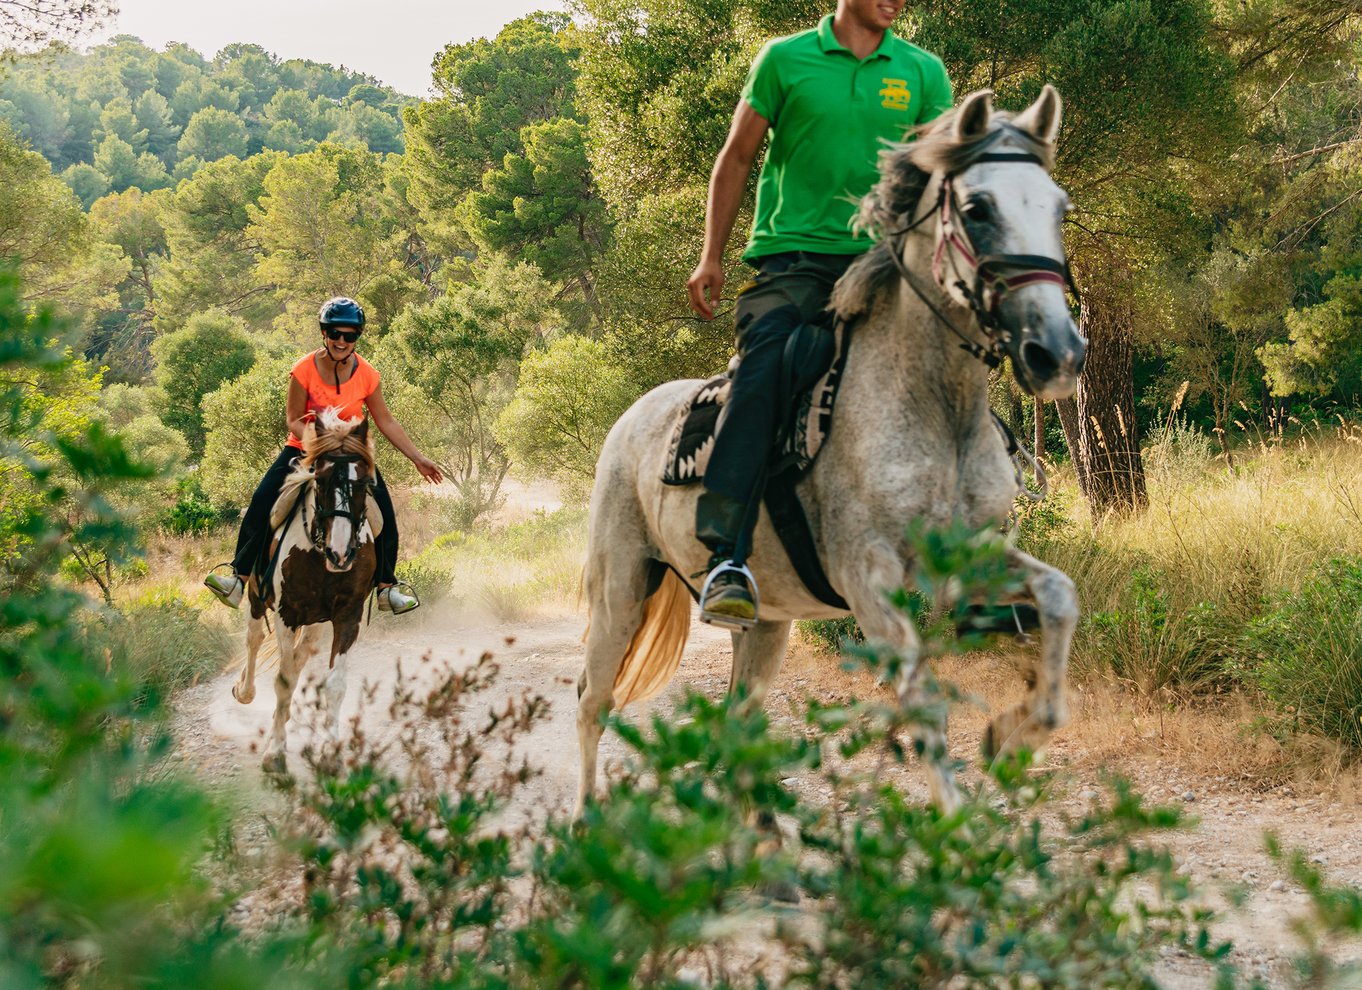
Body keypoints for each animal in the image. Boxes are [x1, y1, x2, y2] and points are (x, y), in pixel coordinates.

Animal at [574, 87, 1084, 811]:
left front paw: (1011, 735)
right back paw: (586, 820)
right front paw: (958, 823)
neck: (935, 413)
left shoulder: (972, 557)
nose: (1058, 353)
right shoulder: (868, 579)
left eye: (1058, 207)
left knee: (737, 721)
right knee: (593, 701)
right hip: (621, 590)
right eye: (978, 209)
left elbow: (1061, 597)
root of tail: (631, 419)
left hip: (765, 623)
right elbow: (923, 702)